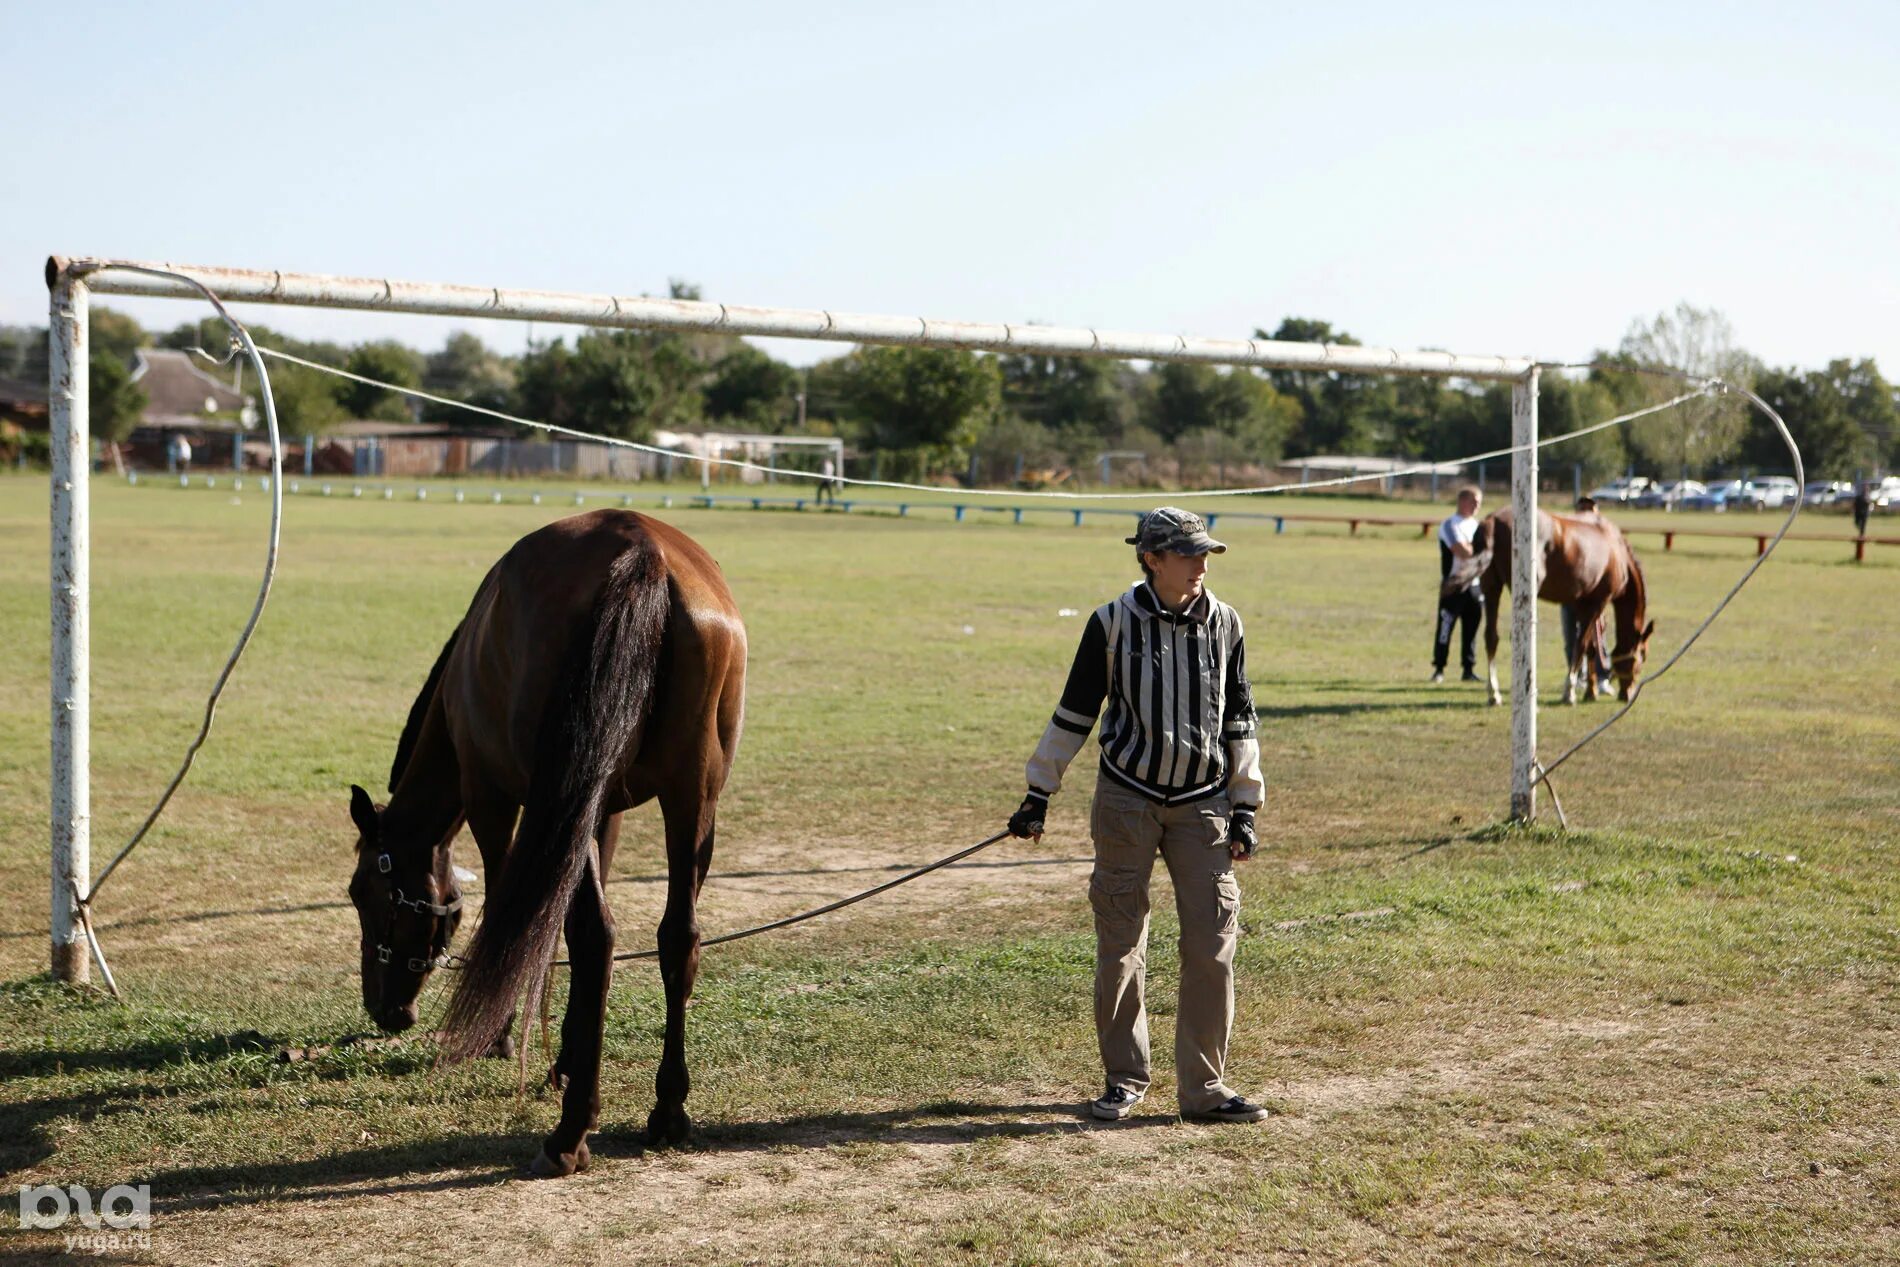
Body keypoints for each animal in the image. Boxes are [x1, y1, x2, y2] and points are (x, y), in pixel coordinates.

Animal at [345, 509, 744, 1177]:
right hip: (691, 795)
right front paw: (565, 1059)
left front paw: (504, 1036)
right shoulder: (602, 815)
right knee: (676, 936)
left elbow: (515, 917)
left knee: (594, 935)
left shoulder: (495, 802)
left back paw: (570, 1132)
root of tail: (642, 552)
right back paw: (666, 1110)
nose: (385, 1009)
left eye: (361, 894)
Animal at [1459, 512, 1656, 714]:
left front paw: (1591, 691)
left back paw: (1494, 694)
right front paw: (1570, 692)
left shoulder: (1580, 604)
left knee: (1491, 637)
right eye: (1643, 655)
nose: (1628, 693)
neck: (1616, 550)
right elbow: (1581, 645)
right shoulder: (1597, 603)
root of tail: (1493, 520)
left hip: (1491, 586)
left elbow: (1591, 647)